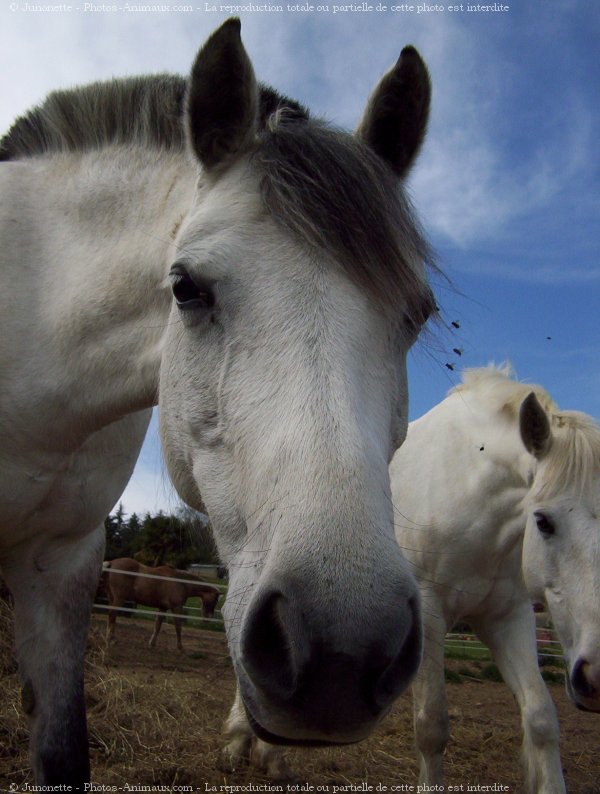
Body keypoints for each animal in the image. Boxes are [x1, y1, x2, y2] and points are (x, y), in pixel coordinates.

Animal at [394, 366, 600, 792]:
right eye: (543, 521)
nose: (596, 677)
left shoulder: (509, 616)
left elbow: (541, 718)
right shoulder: (429, 611)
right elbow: (431, 725)